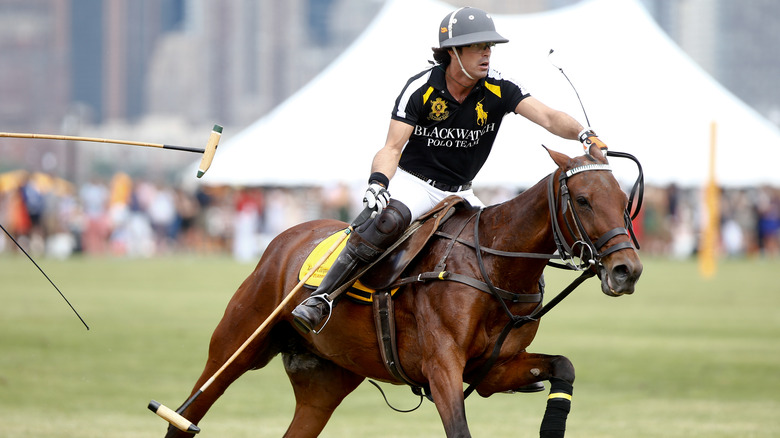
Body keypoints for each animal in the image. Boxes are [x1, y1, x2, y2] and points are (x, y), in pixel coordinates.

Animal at [163, 146, 640, 438]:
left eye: (623, 200)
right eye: (582, 200)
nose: (627, 271)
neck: (494, 266)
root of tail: (288, 235)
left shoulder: (491, 370)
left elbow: (564, 365)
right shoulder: (442, 365)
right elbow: (459, 429)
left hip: (325, 379)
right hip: (237, 344)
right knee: (185, 414)